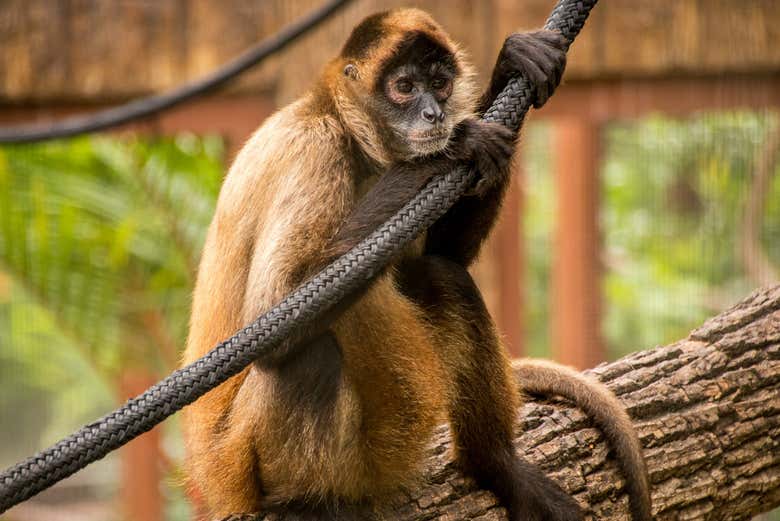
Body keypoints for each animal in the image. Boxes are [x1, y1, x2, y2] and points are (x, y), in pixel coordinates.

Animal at [182, 8, 652, 521]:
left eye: (440, 84)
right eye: (404, 87)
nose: (434, 114)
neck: (338, 122)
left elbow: (445, 257)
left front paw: (509, 66)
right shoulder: (313, 149)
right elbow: (273, 316)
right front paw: (453, 146)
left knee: (440, 276)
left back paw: (495, 465)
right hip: (245, 459)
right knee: (306, 353)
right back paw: (307, 502)